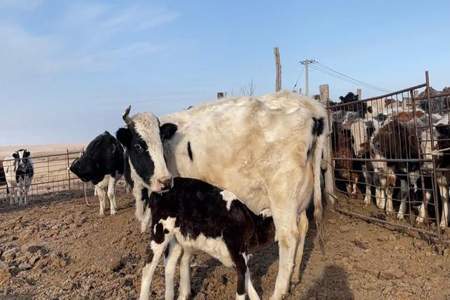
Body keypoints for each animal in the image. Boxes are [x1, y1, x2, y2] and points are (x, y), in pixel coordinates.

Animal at [141, 177, 274, 300]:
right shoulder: (237, 252)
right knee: (147, 268)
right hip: (160, 233)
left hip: (176, 238)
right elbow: (242, 286)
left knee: (170, 264)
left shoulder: (237, 255)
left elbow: (248, 280)